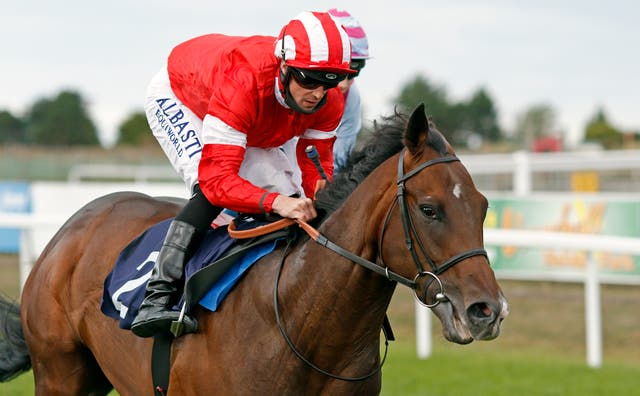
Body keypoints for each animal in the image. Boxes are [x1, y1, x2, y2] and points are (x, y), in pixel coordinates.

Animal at [0, 103, 510, 394]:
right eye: (429, 209)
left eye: (484, 206)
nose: (487, 310)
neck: (305, 324)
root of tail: (72, 226)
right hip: (60, 372)